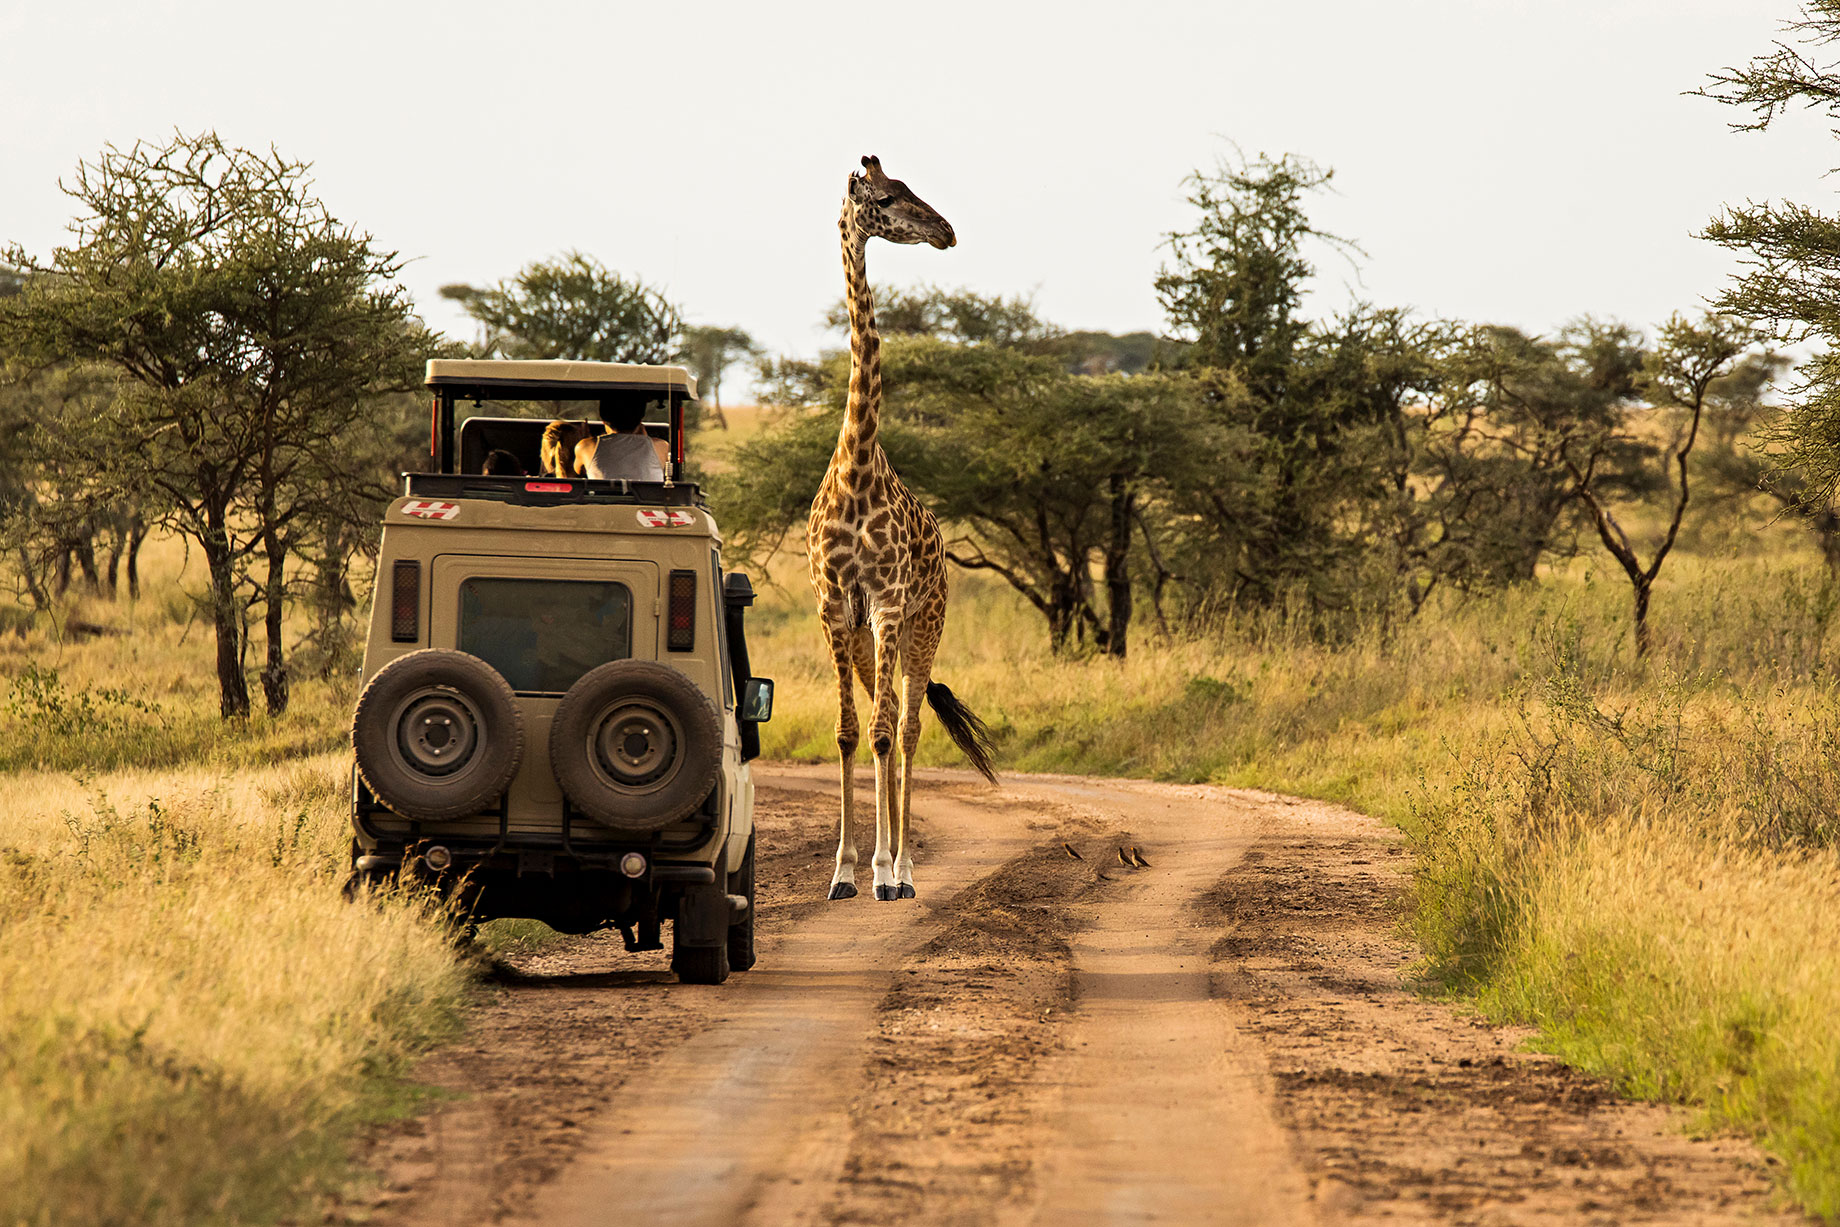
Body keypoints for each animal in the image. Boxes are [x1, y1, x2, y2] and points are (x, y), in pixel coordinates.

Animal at [808, 154, 999, 903]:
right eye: (888, 198)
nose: (947, 231)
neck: (858, 465)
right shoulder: (838, 608)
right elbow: (848, 730)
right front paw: (842, 873)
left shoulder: (889, 604)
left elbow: (889, 731)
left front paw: (886, 871)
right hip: (870, 637)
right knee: (884, 717)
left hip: (925, 624)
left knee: (911, 726)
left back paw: (906, 869)